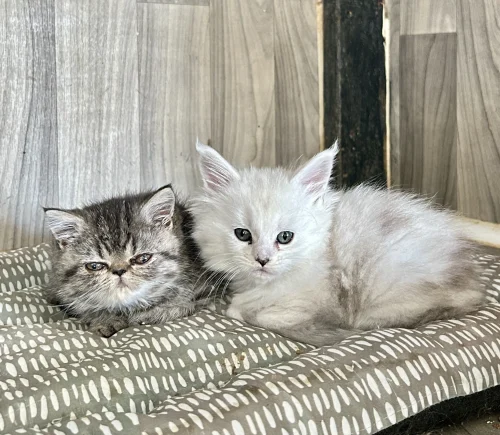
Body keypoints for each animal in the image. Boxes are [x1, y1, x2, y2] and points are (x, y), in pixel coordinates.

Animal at [190, 141, 484, 346]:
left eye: (285, 237)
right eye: (243, 234)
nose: (262, 260)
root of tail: (471, 286)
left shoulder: (320, 301)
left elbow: (248, 311)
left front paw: (241, 307)